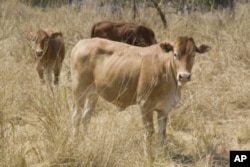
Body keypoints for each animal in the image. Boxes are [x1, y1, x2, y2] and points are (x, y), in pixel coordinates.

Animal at [70, 36, 211, 159]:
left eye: (193, 54)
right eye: (175, 54)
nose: (184, 76)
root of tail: (81, 43)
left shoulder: (165, 109)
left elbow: (162, 132)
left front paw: (162, 153)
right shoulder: (145, 105)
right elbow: (149, 131)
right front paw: (148, 156)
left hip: (93, 93)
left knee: (86, 117)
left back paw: (88, 141)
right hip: (79, 90)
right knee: (76, 116)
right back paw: (75, 142)